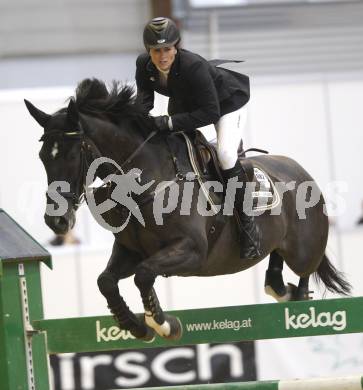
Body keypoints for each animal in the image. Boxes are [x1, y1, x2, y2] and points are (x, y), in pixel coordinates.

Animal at [24, 78, 352, 342]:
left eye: (71, 154)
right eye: (42, 156)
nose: (56, 221)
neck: (147, 181)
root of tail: (300, 170)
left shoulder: (192, 251)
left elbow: (144, 275)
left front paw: (163, 324)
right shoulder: (131, 252)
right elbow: (107, 281)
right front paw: (136, 326)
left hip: (304, 249)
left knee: (305, 271)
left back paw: (299, 299)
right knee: (276, 273)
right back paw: (281, 287)